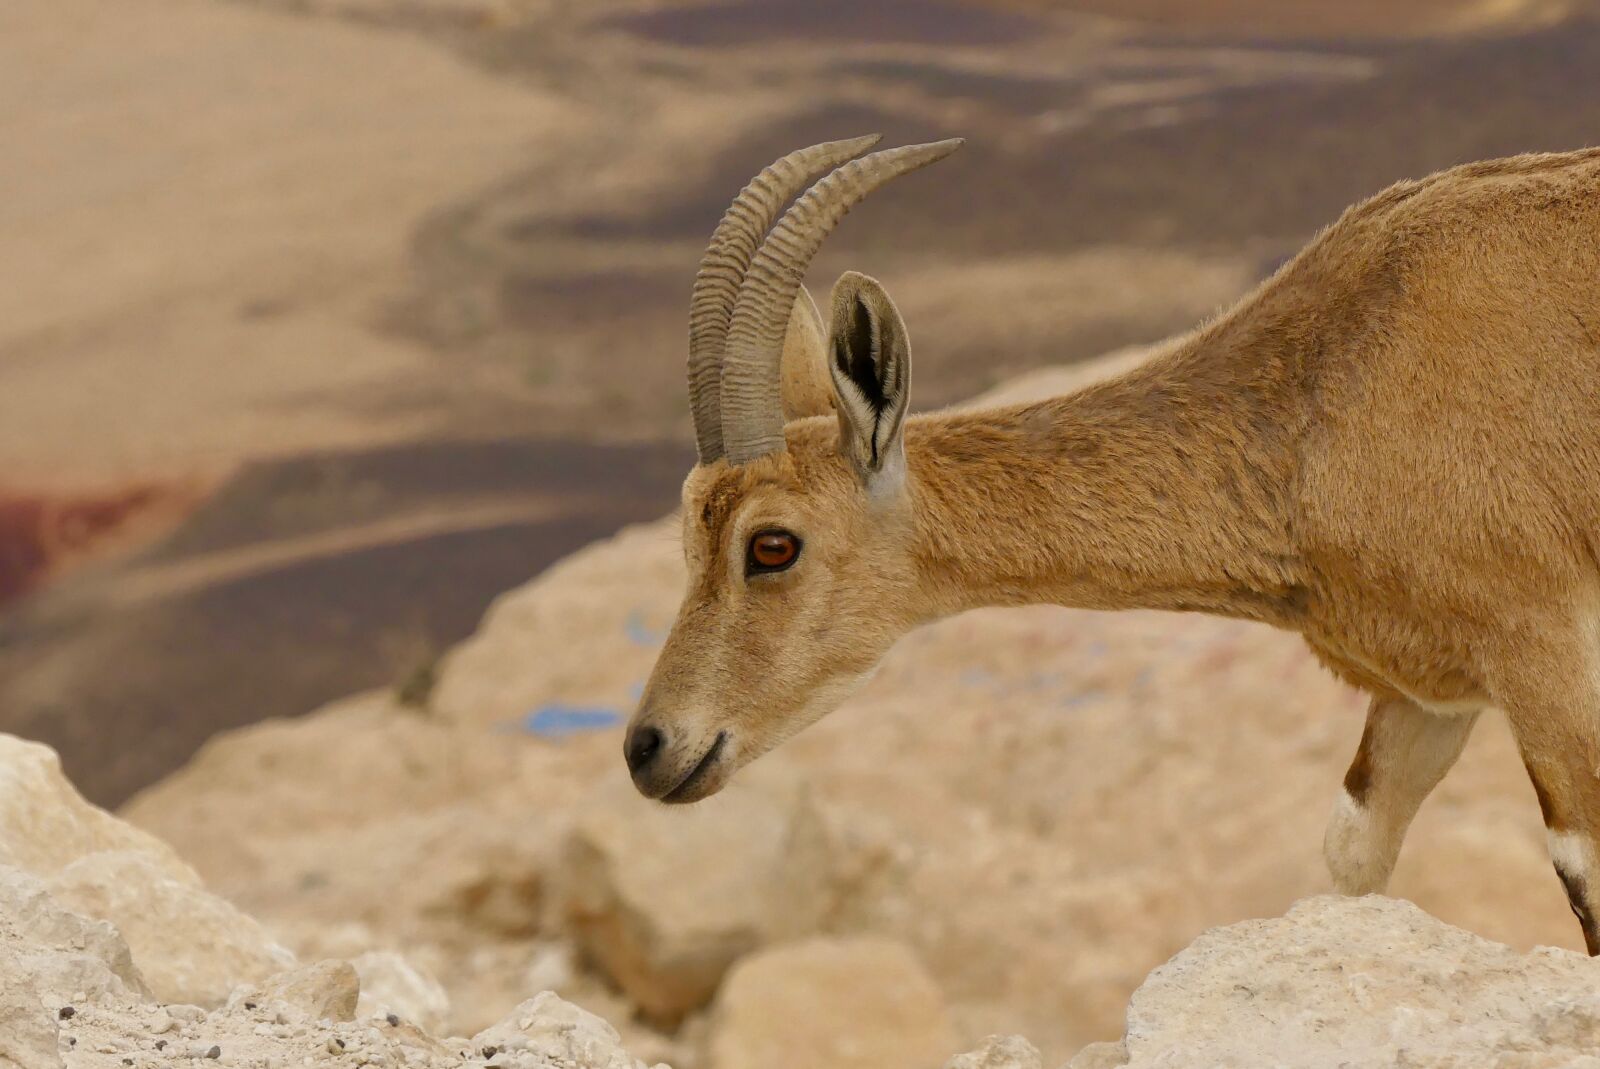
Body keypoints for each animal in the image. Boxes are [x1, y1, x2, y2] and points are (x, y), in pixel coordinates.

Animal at [620, 134, 1600, 954]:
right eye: (687, 521)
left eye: (772, 544)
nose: (648, 747)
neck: (1324, 392)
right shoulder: (1428, 691)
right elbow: (1354, 852)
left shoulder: (1542, 647)